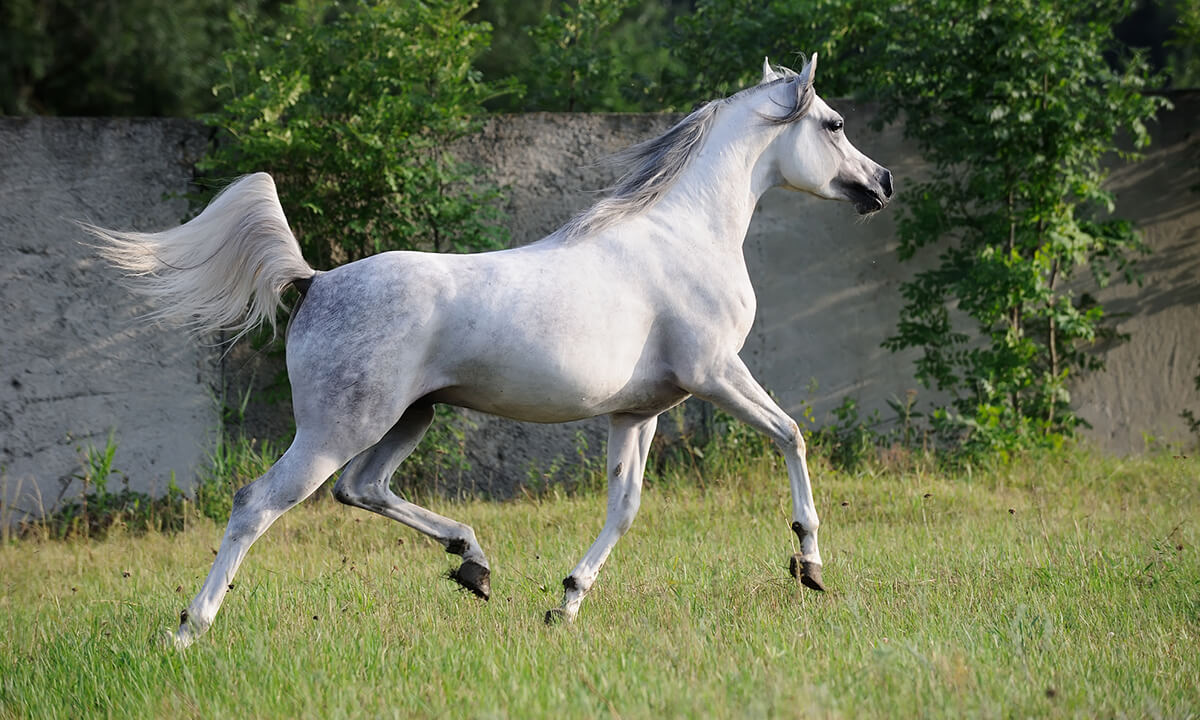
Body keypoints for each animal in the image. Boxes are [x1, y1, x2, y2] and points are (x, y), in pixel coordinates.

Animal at [88, 54, 891, 649]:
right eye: (833, 123)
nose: (881, 183)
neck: (684, 235)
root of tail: (315, 281)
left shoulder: (637, 412)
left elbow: (625, 506)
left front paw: (565, 603)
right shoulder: (717, 374)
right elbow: (792, 435)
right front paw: (809, 563)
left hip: (409, 418)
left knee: (362, 488)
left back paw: (472, 563)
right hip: (338, 427)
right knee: (258, 503)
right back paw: (188, 630)